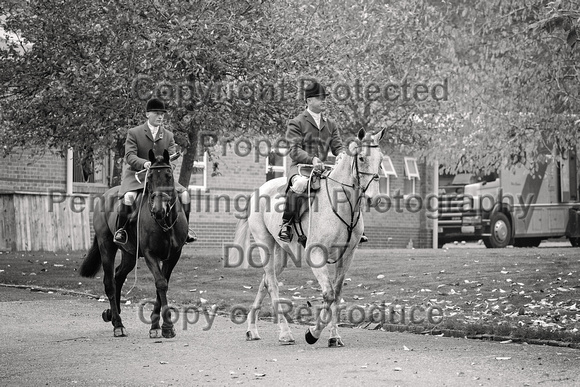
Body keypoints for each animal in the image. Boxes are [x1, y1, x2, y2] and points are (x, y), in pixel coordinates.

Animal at [79, 150, 187, 338]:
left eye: (169, 175)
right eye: (149, 176)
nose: (158, 211)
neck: (165, 222)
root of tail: (106, 194)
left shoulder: (173, 255)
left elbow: (162, 284)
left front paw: (156, 325)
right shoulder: (151, 254)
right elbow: (161, 283)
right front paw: (166, 326)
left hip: (129, 254)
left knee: (118, 276)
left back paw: (112, 315)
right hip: (106, 246)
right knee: (110, 282)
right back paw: (118, 325)